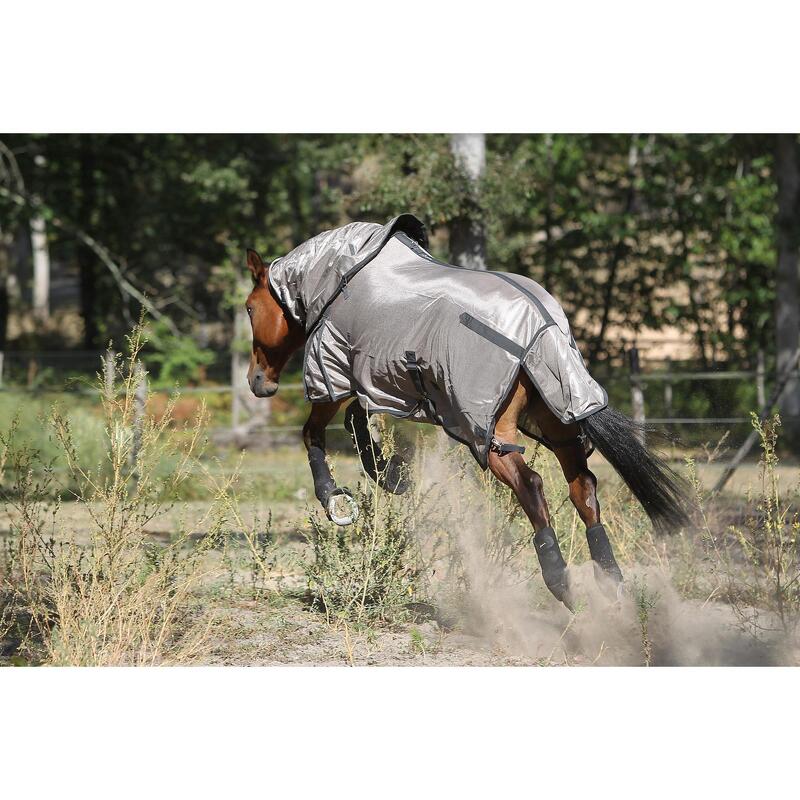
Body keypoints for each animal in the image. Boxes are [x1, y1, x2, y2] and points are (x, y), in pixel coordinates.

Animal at [244, 216, 688, 608]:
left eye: (249, 308)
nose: (257, 381)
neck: (342, 277)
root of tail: (542, 329)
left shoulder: (334, 375)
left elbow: (314, 433)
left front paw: (336, 499)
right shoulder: (381, 385)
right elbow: (357, 421)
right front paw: (392, 476)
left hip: (490, 435)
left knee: (532, 484)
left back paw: (560, 583)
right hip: (557, 424)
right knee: (584, 487)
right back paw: (610, 582)